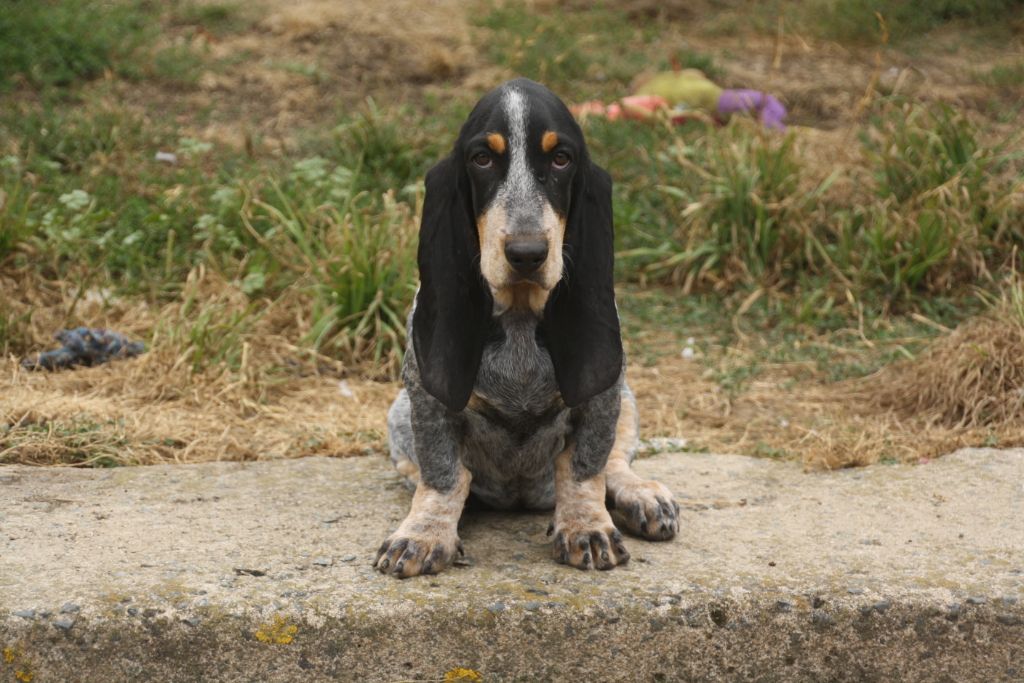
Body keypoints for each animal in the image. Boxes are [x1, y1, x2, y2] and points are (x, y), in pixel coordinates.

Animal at [376, 81, 679, 581]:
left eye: (561, 159)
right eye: (481, 159)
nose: (527, 253)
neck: (519, 314)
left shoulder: (603, 395)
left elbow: (584, 468)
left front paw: (586, 528)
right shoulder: (425, 398)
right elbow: (443, 473)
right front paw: (424, 533)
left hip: (628, 399)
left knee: (616, 463)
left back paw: (641, 496)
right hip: (397, 413)